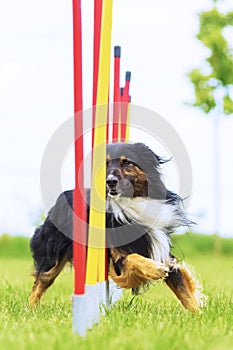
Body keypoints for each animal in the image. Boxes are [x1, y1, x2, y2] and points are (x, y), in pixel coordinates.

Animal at [29, 142, 206, 312]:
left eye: (127, 162)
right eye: (105, 163)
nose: (110, 181)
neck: (129, 205)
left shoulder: (162, 250)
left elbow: (184, 292)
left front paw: (197, 314)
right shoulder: (115, 260)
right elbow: (132, 258)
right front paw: (156, 269)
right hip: (52, 255)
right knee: (41, 281)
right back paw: (30, 310)